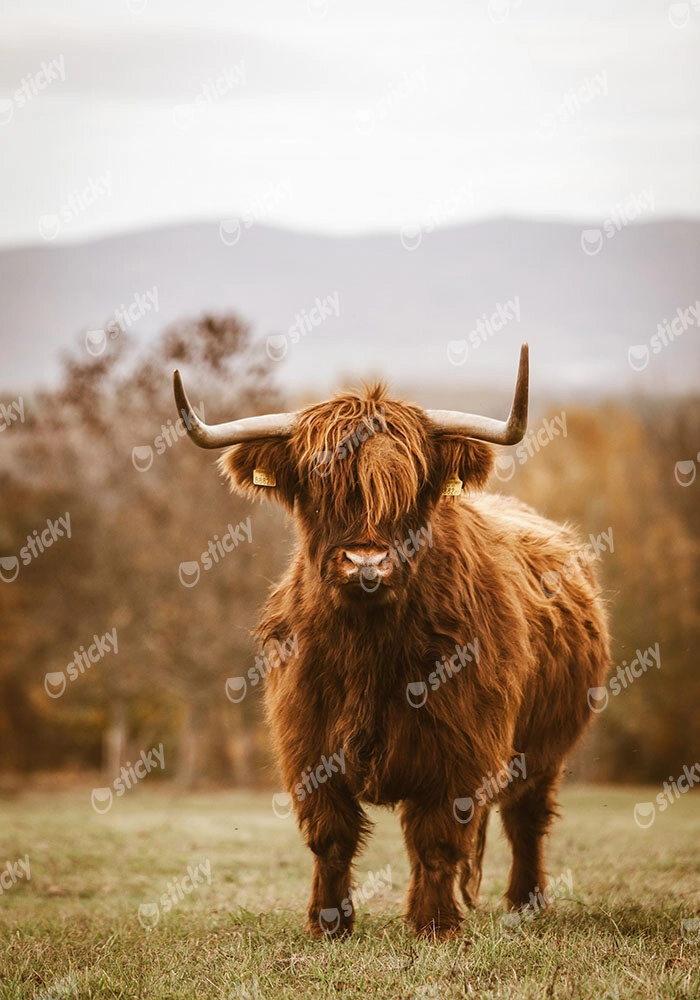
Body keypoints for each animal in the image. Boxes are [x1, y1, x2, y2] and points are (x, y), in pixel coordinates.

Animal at [173, 344, 610, 939]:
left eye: (413, 487)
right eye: (319, 486)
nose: (367, 561)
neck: (369, 648)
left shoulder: (460, 747)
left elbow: (437, 837)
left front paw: (435, 925)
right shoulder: (307, 742)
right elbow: (331, 837)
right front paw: (328, 924)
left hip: (546, 748)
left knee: (526, 820)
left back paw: (526, 903)